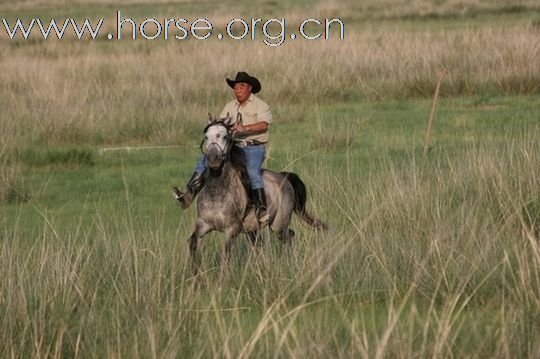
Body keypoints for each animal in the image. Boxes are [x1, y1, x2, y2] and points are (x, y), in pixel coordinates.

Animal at [188, 114, 326, 272]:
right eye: (206, 136)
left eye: (225, 136)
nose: (212, 159)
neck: (217, 193)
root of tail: (284, 177)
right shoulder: (203, 224)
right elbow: (193, 242)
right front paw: (195, 273)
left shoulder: (231, 230)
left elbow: (226, 256)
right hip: (252, 229)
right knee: (260, 245)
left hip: (278, 225)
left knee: (289, 236)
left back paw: (289, 261)